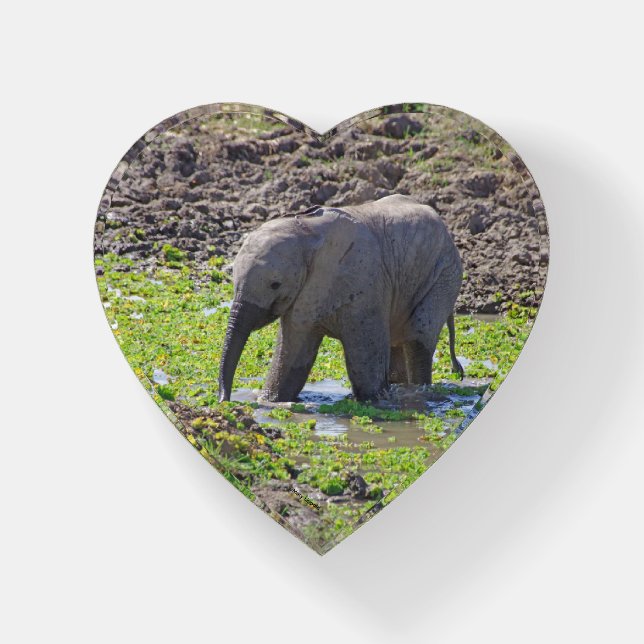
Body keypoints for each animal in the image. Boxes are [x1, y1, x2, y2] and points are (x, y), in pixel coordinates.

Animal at [218, 194, 464, 403]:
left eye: (275, 284)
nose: (224, 401)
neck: (305, 232)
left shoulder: (365, 279)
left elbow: (365, 362)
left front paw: (375, 402)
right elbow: (292, 353)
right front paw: (269, 401)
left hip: (445, 273)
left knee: (418, 335)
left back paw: (419, 393)